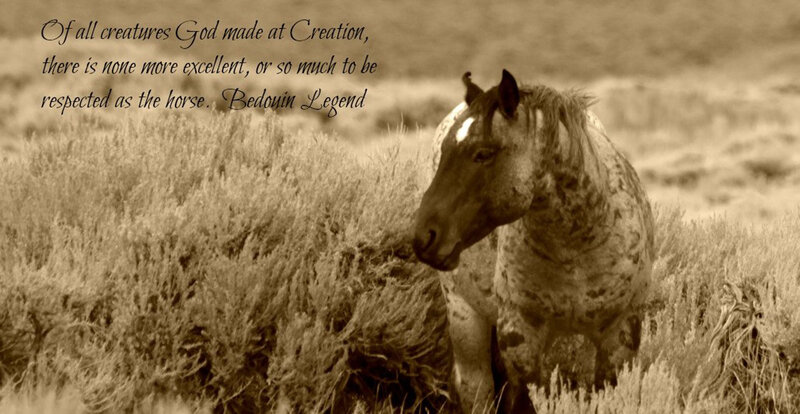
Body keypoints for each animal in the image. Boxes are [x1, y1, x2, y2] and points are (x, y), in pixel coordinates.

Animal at [412, 70, 655, 413]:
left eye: (483, 153)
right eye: (444, 152)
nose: (424, 236)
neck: (576, 245)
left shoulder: (620, 334)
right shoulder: (521, 338)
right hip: (464, 314)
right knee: (476, 389)